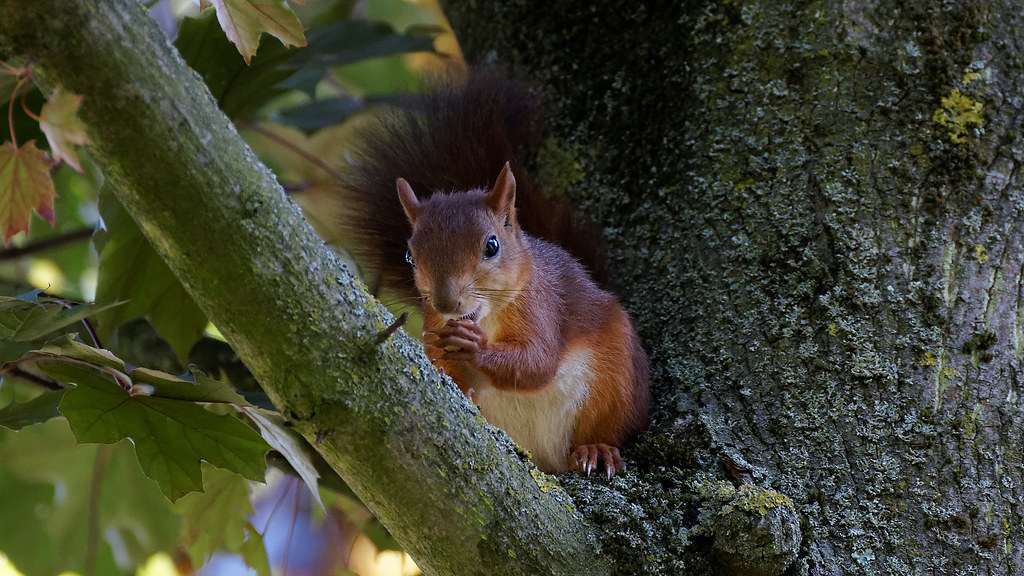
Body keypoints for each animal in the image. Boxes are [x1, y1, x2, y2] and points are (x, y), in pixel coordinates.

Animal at [338, 68, 649, 478]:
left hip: (616, 380)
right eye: (410, 257)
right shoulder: (432, 322)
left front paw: (476, 346)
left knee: (606, 425)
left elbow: (537, 363)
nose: (446, 302)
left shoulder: (542, 306)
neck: (486, 317)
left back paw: (596, 449)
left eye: (491, 246)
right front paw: (456, 374)